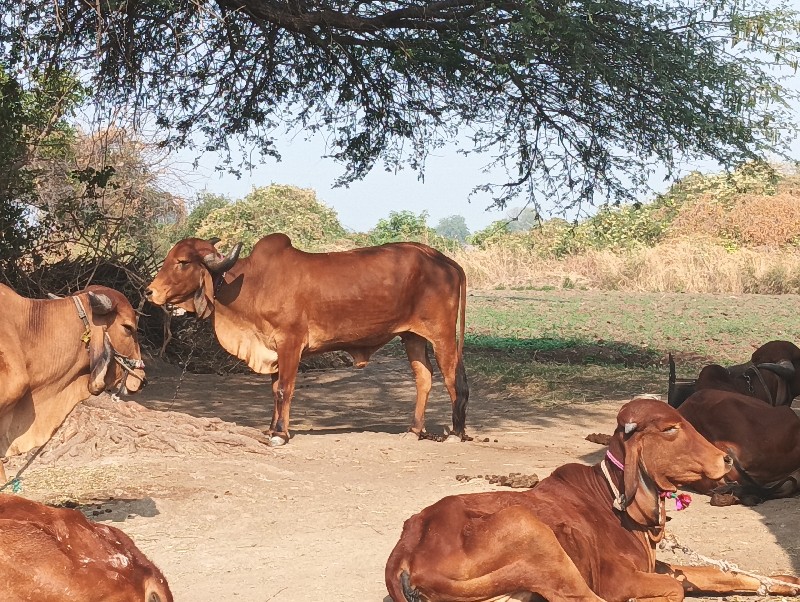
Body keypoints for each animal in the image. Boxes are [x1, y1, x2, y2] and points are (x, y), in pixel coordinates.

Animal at [145, 234, 468, 446]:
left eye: (183, 262)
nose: (150, 292)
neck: (252, 284)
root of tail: (446, 261)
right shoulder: (272, 348)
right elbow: (274, 389)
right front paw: (271, 428)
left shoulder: (290, 342)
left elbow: (283, 389)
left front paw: (279, 434)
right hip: (412, 337)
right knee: (424, 378)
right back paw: (414, 430)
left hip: (441, 335)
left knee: (453, 379)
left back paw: (455, 433)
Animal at [386, 398, 800, 600]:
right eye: (669, 428)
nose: (726, 458)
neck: (611, 498)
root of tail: (405, 554)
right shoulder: (618, 580)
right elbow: (677, 587)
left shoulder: (657, 566)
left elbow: (714, 575)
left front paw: (784, 582)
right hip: (531, 530)